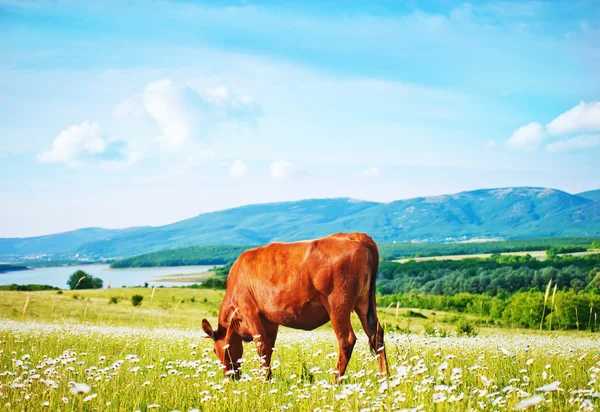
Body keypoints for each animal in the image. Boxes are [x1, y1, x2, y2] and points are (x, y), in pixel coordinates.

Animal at [202, 232, 390, 380]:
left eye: (214, 350)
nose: (230, 377)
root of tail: (355, 236)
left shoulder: (250, 312)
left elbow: (261, 346)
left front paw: (263, 380)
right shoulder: (271, 321)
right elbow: (269, 347)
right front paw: (269, 377)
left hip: (338, 305)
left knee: (347, 340)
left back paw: (335, 380)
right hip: (364, 303)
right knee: (377, 335)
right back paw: (385, 377)